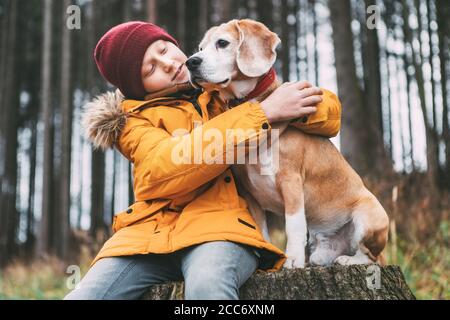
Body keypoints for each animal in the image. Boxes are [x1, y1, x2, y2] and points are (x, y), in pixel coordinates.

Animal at [185, 18, 388, 268]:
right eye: (201, 48)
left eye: (222, 43)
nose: (190, 62)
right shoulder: (250, 193)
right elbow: (261, 230)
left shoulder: (290, 181)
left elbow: (294, 226)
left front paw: (292, 259)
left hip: (370, 215)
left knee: (372, 257)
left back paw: (348, 260)